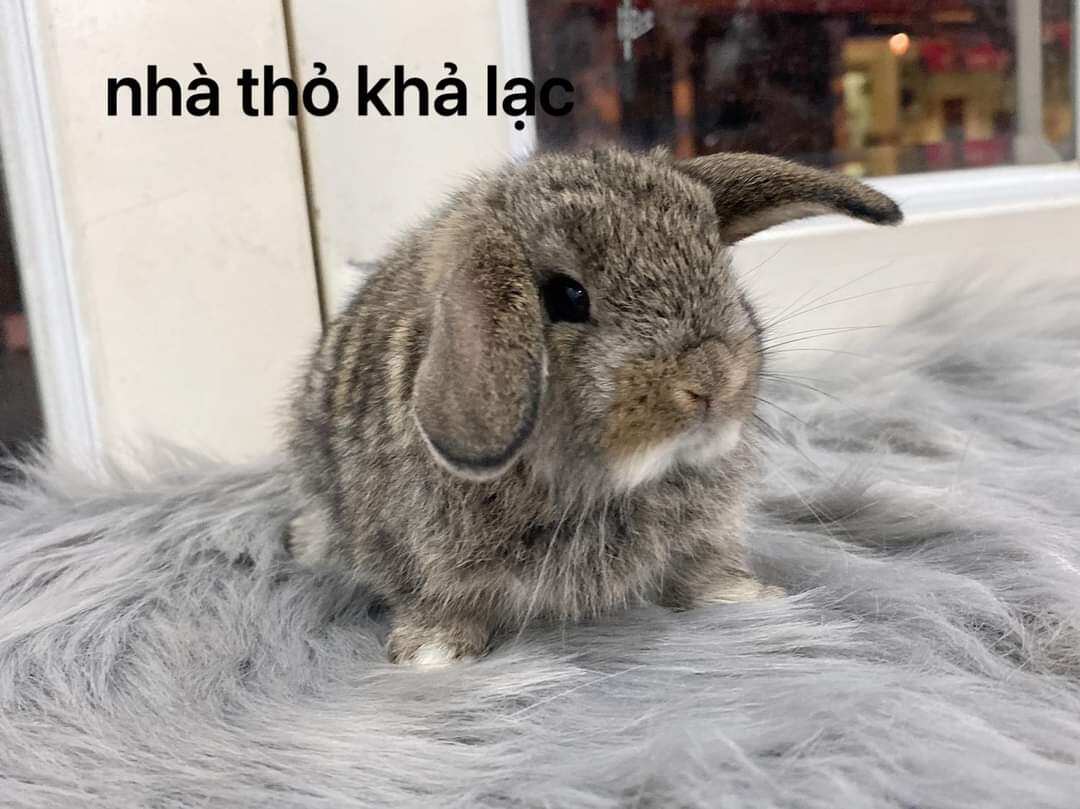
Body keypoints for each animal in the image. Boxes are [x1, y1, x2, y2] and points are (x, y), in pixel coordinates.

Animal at [286, 147, 901, 666]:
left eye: (720, 269)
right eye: (565, 296)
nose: (712, 378)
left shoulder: (707, 533)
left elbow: (703, 570)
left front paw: (746, 598)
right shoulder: (420, 558)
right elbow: (438, 602)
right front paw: (432, 656)